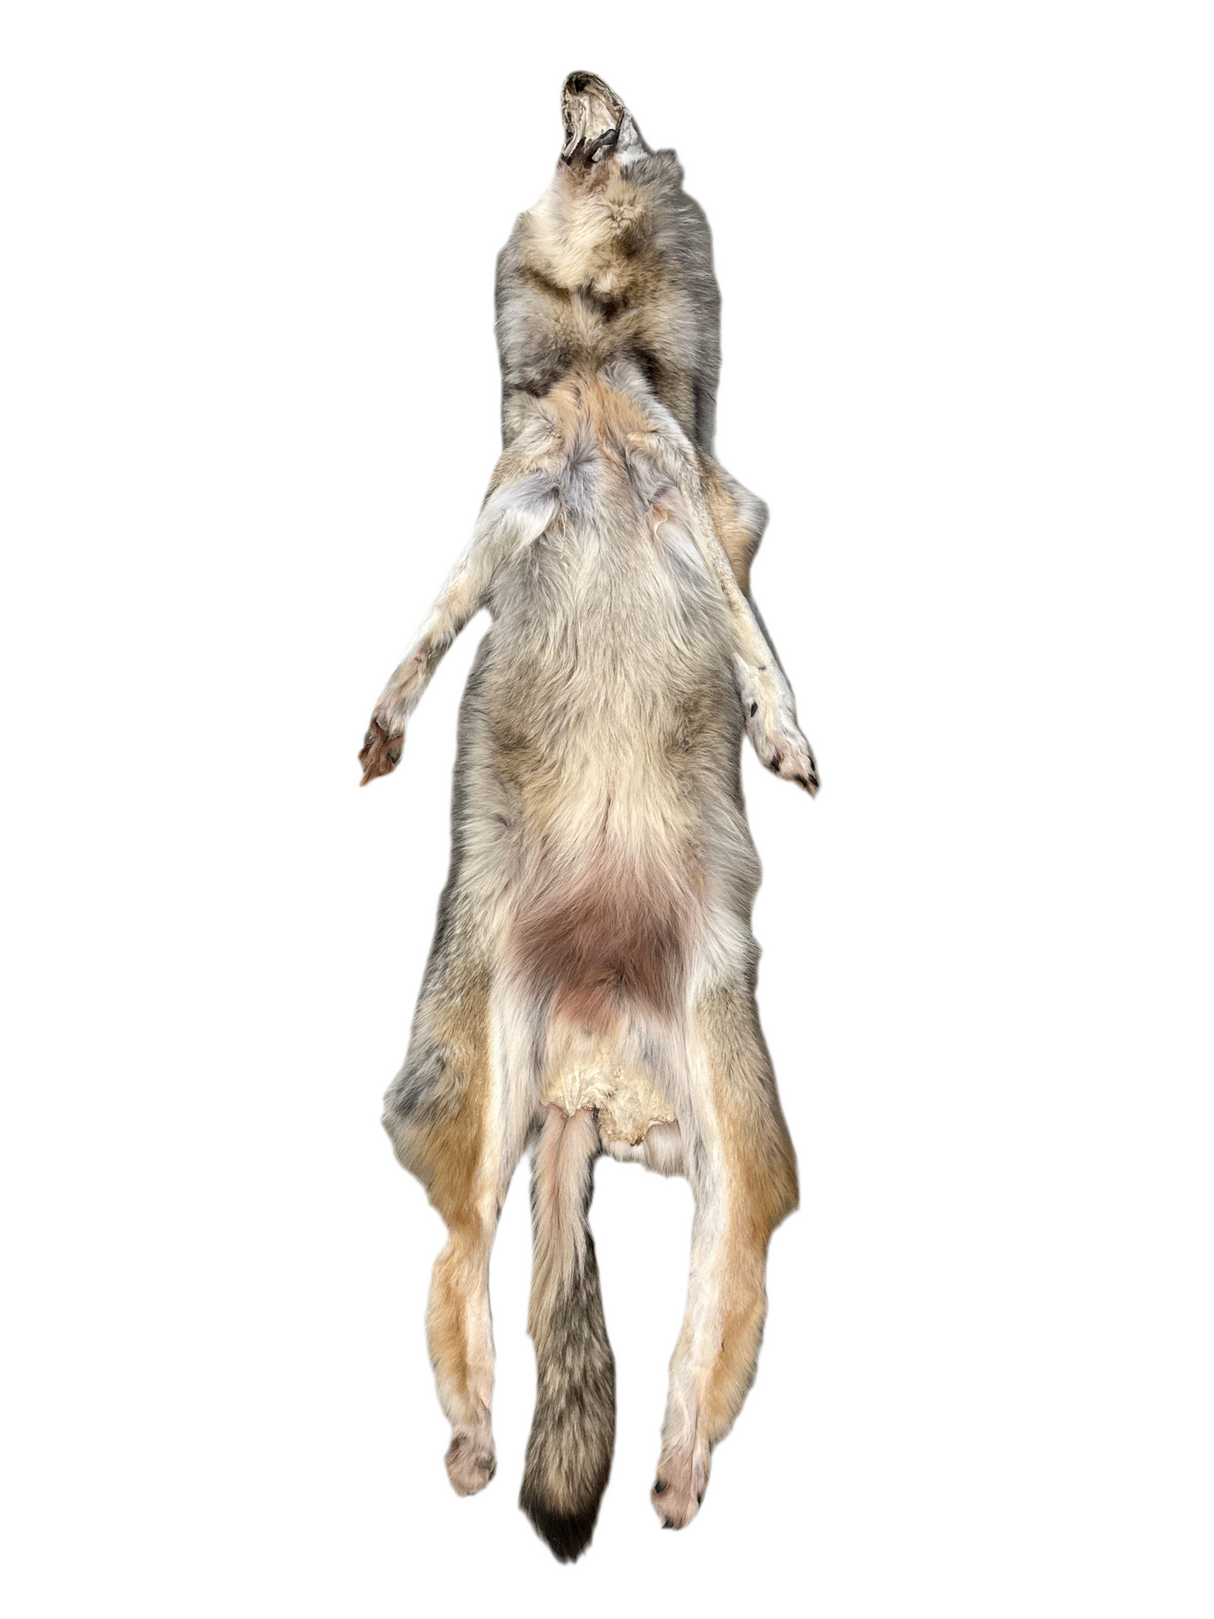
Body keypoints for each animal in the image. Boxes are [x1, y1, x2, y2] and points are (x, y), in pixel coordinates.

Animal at [359, 71, 817, 1561]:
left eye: (632, 119)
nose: (574, 69)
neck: (595, 364)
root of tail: (591, 1091)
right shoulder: (510, 499)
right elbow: (433, 618)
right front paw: (390, 710)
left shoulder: (698, 500)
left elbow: (751, 639)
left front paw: (781, 730)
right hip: (485, 1111)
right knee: (462, 1281)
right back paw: (475, 1439)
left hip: (736, 1150)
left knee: (701, 1337)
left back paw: (671, 1468)